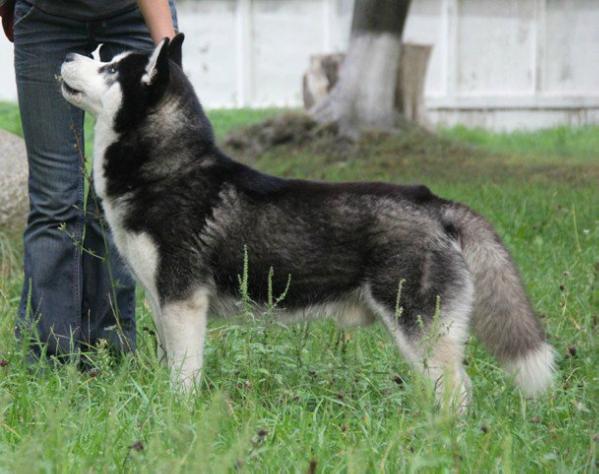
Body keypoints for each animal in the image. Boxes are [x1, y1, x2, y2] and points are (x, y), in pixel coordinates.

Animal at [58, 35, 556, 410]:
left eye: (110, 68)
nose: (66, 55)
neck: (170, 170)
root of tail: (434, 202)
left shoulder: (183, 302)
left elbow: (184, 375)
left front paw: (178, 415)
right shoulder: (162, 301)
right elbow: (169, 365)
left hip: (421, 326)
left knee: (456, 390)